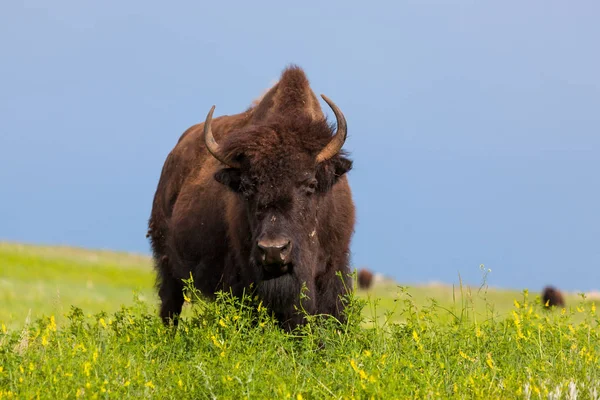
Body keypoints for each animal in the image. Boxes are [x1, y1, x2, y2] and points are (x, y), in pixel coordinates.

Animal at [149, 65, 356, 332]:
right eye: (247, 187)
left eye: (311, 184)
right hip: (168, 268)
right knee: (170, 308)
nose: (273, 250)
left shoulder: (333, 270)